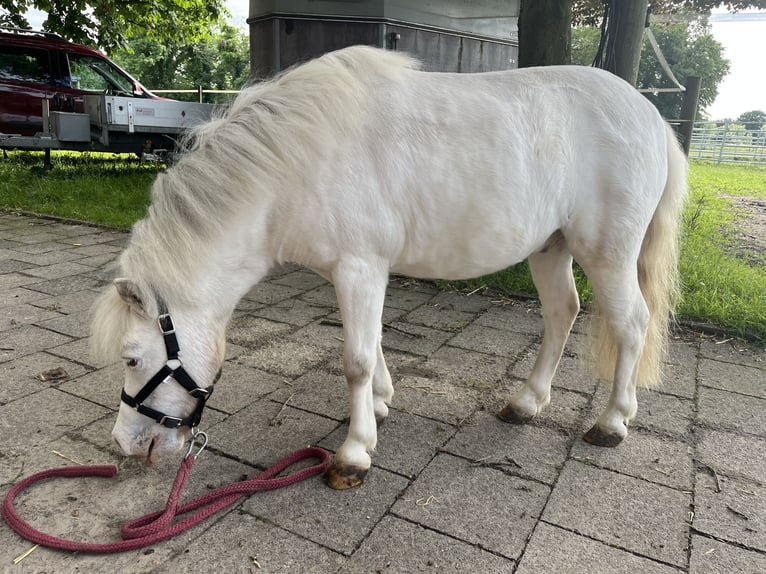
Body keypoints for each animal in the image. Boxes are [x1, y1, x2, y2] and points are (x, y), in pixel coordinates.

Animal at [91, 45, 688, 490]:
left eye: (131, 358)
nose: (123, 445)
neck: (295, 161)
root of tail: (652, 116)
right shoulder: (359, 272)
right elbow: (372, 343)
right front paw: (379, 405)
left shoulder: (358, 267)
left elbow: (355, 359)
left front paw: (354, 453)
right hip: (551, 247)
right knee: (563, 312)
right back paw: (526, 403)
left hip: (609, 252)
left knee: (631, 323)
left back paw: (612, 422)